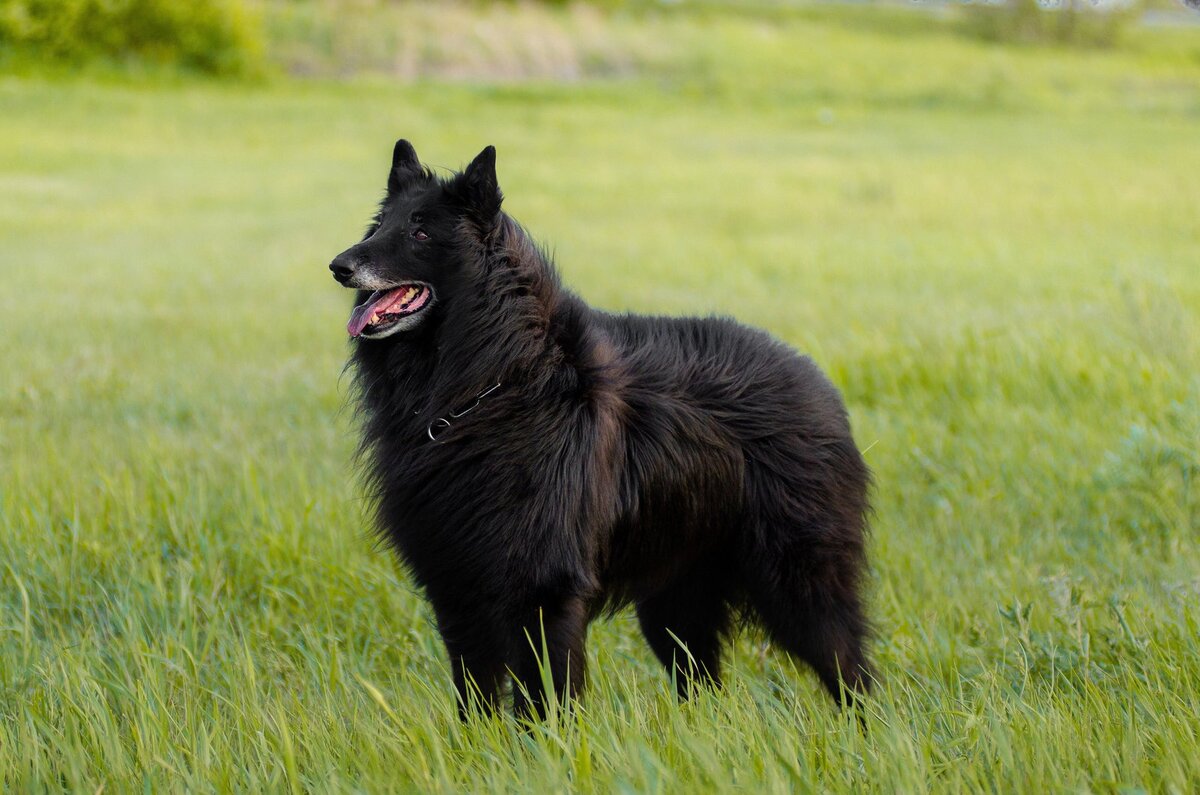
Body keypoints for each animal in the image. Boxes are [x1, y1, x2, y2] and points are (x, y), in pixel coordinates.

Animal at [331, 143, 873, 720]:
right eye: (379, 225)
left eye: (420, 232)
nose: (339, 266)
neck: (494, 381)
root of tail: (817, 381)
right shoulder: (458, 591)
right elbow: (475, 702)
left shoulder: (544, 593)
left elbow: (545, 704)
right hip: (675, 602)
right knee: (704, 685)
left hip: (800, 588)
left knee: (854, 675)